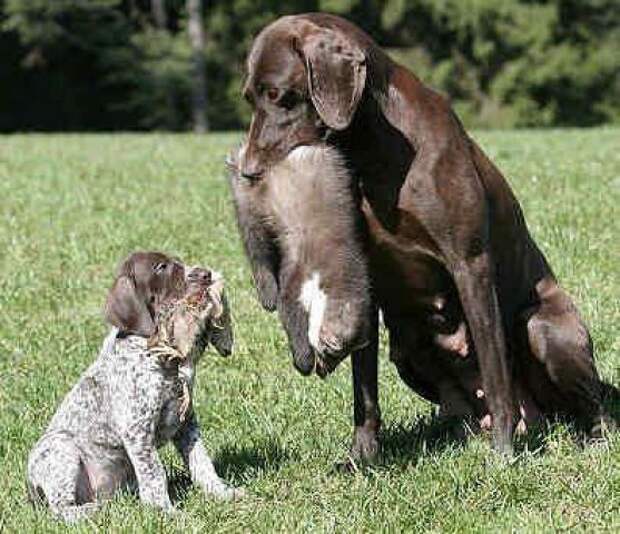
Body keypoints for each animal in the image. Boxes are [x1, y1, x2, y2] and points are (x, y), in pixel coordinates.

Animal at [29, 254, 242, 524]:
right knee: (61, 509)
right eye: (161, 267)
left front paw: (221, 492)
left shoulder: (186, 421)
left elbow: (201, 461)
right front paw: (167, 512)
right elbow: (155, 473)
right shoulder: (137, 431)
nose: (206, 274)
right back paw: (96, 511)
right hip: (59, 447)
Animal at [240, 13, 608, 464]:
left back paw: (585, 437)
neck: (375, 151)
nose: (248, 171)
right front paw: (362, 457)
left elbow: (495, 369)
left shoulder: (471, 264)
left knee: (591, 404)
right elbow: (364, 388)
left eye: (279, 95)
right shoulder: (366, 279)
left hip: (544, 327)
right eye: (249, 97)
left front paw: (503, 454)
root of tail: (539, 417)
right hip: (407, 350)